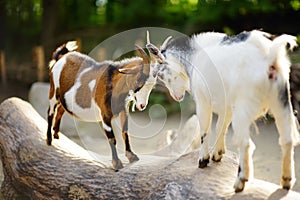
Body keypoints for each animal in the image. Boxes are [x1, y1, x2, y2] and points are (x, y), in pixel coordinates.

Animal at [48, 40, 155, 170]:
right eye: (138, 81)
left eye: (152, 86)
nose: (142, 105)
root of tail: (61, 57)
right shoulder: (105, 115)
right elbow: (112, 138)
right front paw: (117, 163)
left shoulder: (123, 110)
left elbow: (125, 132)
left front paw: (131, 156)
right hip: (53, 92)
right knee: (50, 112)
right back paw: (49, 140)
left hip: (64, 99)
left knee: (60, 110)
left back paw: (56, 134)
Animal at [145, 30, 298, 192]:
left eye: (160, 75)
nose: (176, 97)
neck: (194, 56)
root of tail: (269, 58)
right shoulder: (227, 106)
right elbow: (220, 127)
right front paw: (217, 154)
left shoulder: (203, 101)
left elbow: (205, 129)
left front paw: (203, 160)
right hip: (281, 101)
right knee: (287, 139)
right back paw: (286, 181)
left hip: (243, 107)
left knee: (246, 143)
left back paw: (240, 182)